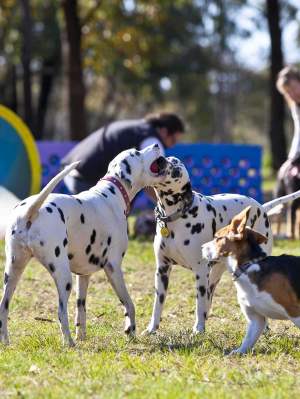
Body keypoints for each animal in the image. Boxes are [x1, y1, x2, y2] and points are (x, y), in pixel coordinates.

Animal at [0, 145, 166, 346]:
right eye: (137, 153)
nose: (156, 146)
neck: (112, 194)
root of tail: (30, 211)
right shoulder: (113, 269)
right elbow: (129, 304)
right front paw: (131, 331)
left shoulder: (83, 275)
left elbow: (81, 309)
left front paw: (82, 335)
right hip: (63, 277)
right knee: (61, 312)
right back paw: (69, 342)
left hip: (13, 273)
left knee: (3, 307)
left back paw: (6, 341)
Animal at [145, 156, 300, 334]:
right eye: (169, 158)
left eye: (176, 169)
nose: (161, 159)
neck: (176, 219)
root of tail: (261, 206)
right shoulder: (162, 270)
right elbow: (158, 304)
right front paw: (152, 328)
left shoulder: (200, 271)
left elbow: (199, 304)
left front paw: (198, 329)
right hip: (213, 275)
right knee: (208, 298)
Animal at [202, 206, 300, 356]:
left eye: (217, 238)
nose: (201, 247)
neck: (248, 266)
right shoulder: (256, 319)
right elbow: (248, 340)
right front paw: (237, 353)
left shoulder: (295, 311)